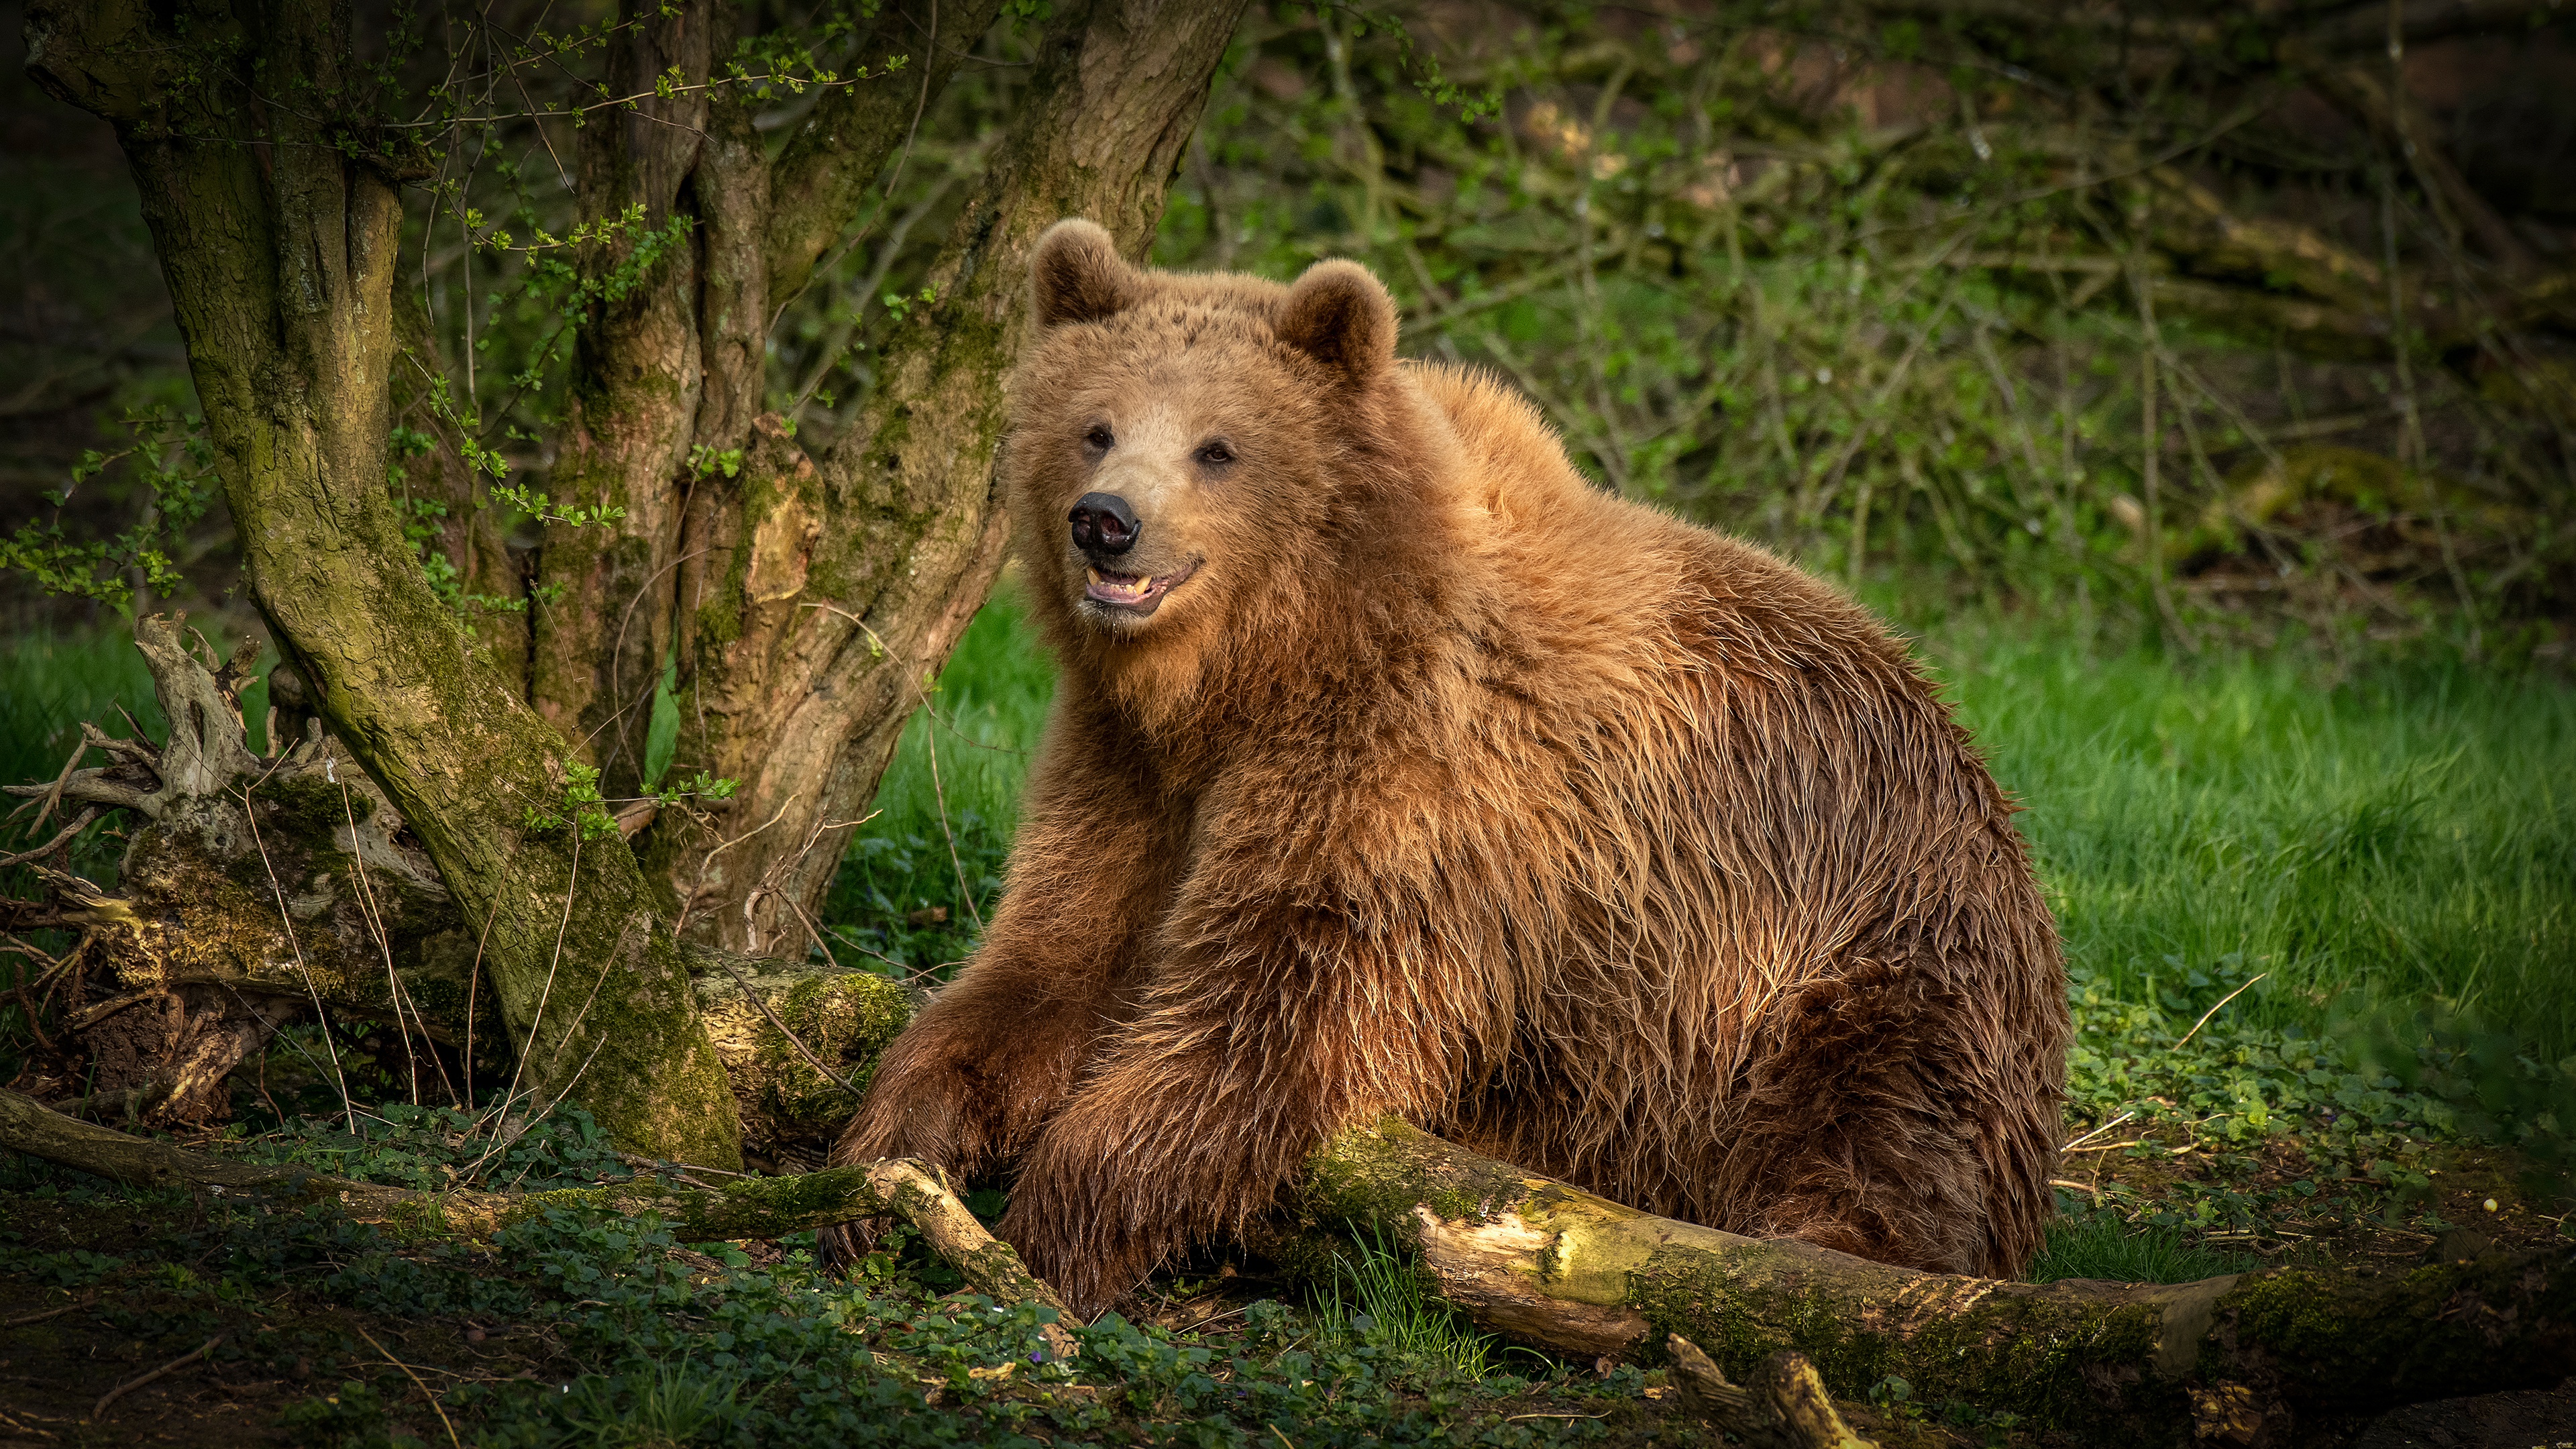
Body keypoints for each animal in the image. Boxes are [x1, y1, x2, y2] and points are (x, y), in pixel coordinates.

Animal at [824, 220, 2071, 1315]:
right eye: (1094, 425)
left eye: (1218, 446)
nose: (1106, 522)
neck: (1265, 666)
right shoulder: (1130, 768)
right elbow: (1055, 952)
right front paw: (893, 1154)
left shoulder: (1413, 787)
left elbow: (1271, 1017)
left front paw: (1045, 1234)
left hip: (1862, 950)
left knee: (1882, 1123)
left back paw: (1809, 1254)